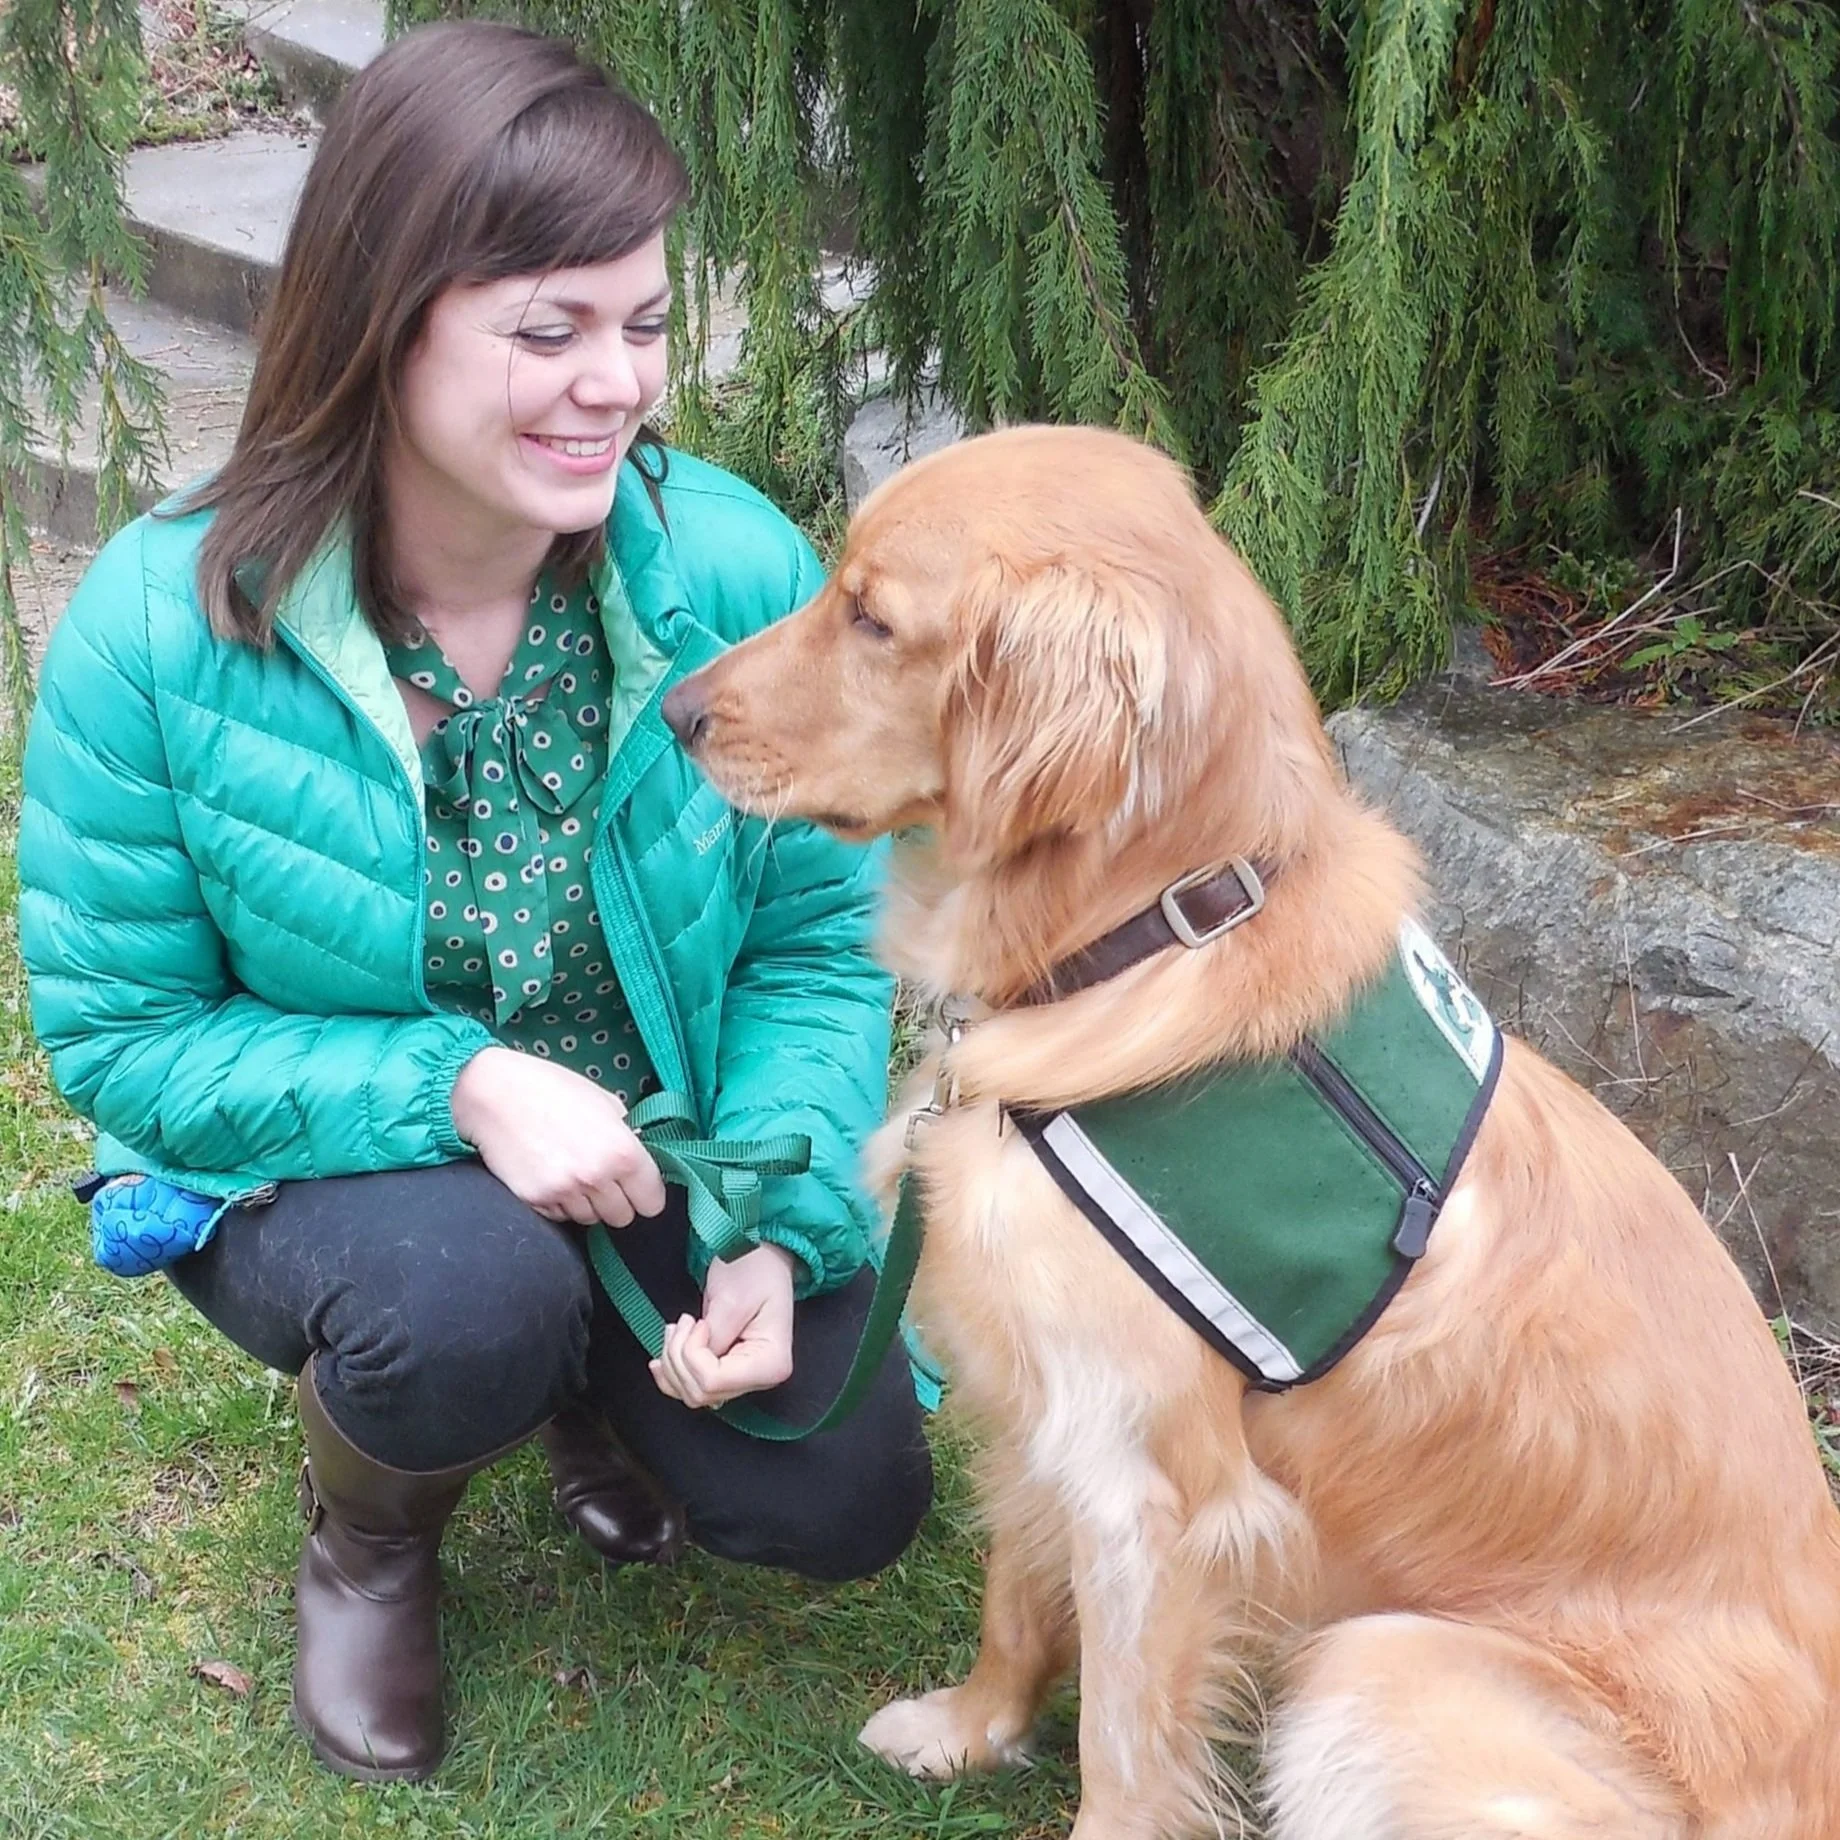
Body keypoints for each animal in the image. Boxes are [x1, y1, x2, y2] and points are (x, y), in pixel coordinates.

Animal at [662, 425, 1840, 1838]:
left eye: (872, 617)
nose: (674, 713)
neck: (1134, 939)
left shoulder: (1151, 1494)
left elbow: (1122, 1745)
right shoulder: (1042, 1401)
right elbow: (1014, 1595)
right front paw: (972, 1728)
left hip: (1373, 1673)